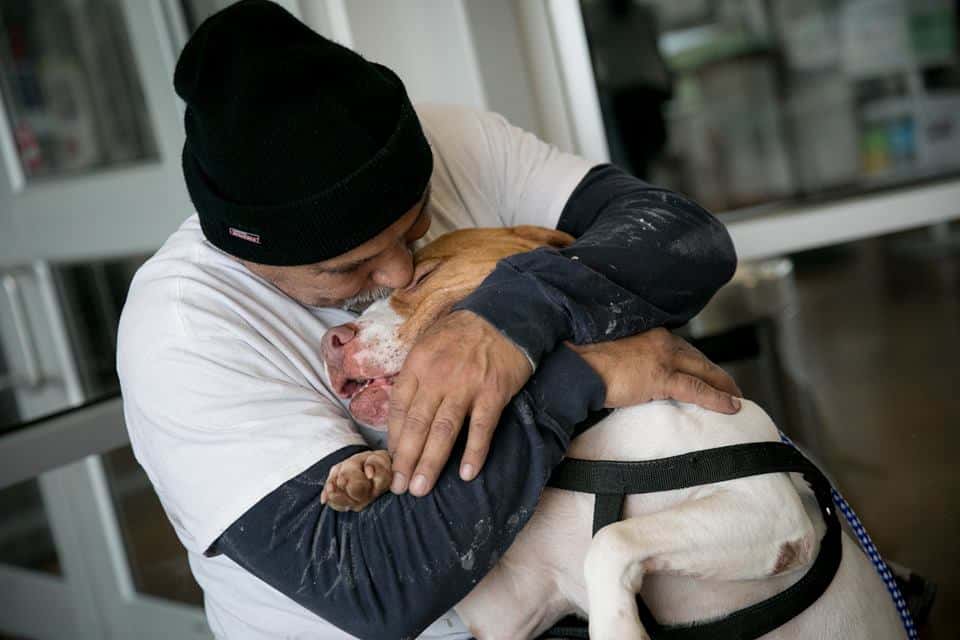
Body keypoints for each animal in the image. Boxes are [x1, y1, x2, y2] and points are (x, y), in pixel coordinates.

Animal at [318, 228, 904, 636]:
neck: (585, 438)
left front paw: (618, 630)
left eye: (420, 279)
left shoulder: (765, 507)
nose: (331, 340)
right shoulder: (509, 611)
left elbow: (610, 541)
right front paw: (368, 469)